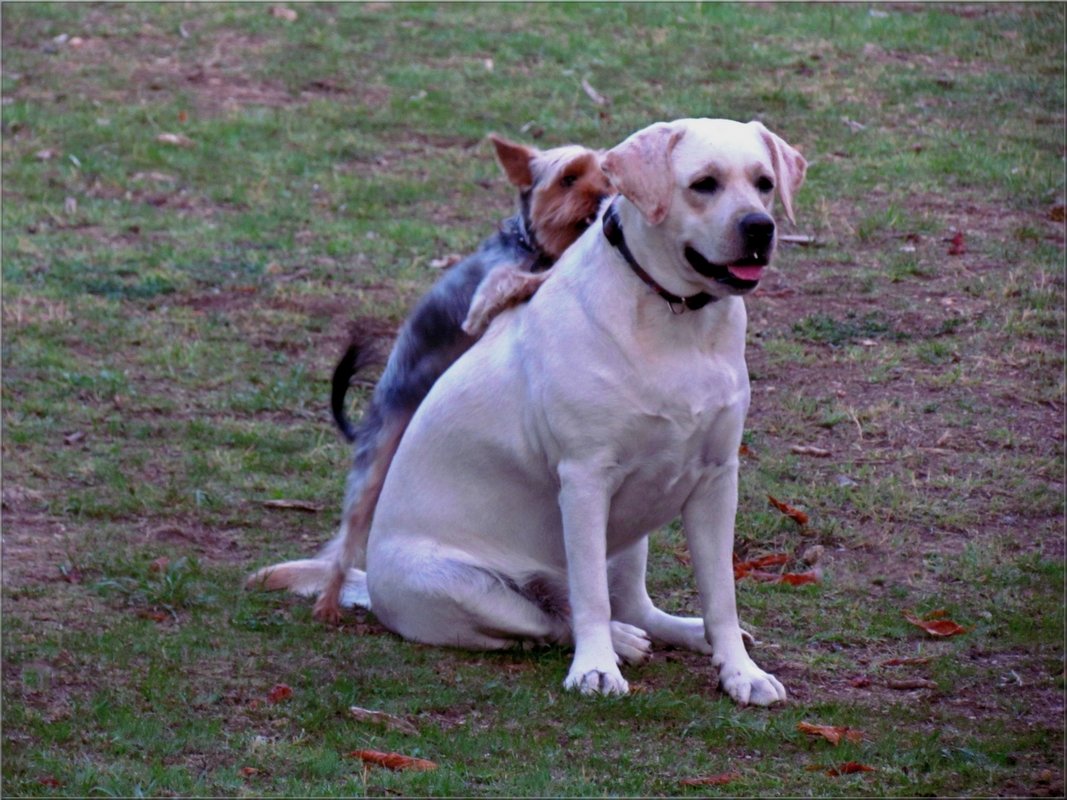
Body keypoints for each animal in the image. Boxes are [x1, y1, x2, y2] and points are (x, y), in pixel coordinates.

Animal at [244, 134, 610, 618]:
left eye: (605, 173)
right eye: (569, 178)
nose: (603, 196)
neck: (532, 244)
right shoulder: (482, 301)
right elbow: (515, 281)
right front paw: (542, 274)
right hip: (374, 467)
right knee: (344, 541)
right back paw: (327, 603)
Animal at [283, 118, 802, 708]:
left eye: (764, 184)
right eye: (704, 184)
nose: (759, 227)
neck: (673, 317)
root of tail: (370, 583)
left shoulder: (717, 479)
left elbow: (721, 594)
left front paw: (740, 671)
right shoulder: (585, 479)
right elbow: (591, 597)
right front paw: (596, 669)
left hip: (631, 536)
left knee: (629, 605)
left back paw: (682, 632)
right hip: (467, 588)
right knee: (555, 619)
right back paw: (616, 642)